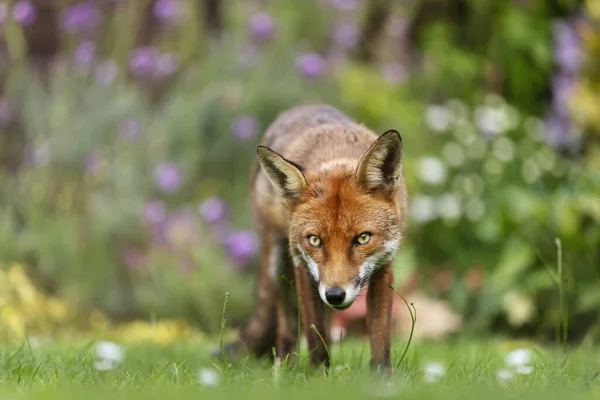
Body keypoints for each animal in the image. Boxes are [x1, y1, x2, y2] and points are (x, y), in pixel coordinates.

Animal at [225, 104, 408, 374]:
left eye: (362, 238)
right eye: (314, 241)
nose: (335, 295)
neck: (336, 153)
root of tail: (303, 106)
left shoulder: (384, 267)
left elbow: (380, 336)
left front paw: (381, 378)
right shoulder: (303, 268)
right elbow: (314, 335)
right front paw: (319, 376)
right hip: (278, 267)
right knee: (287, 329)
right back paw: (283, 372)